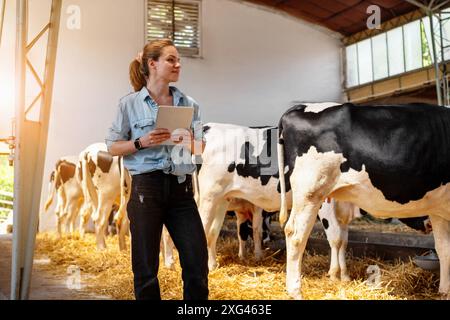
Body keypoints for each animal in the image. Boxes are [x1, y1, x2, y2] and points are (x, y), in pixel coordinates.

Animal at [278, 103, 450, 300]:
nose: (427, 224)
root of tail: (302, 106)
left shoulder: (439, 209)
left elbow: (444, 249)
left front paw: (444, 291)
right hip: (310, 194)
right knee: (295, 235)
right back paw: (295, 292)